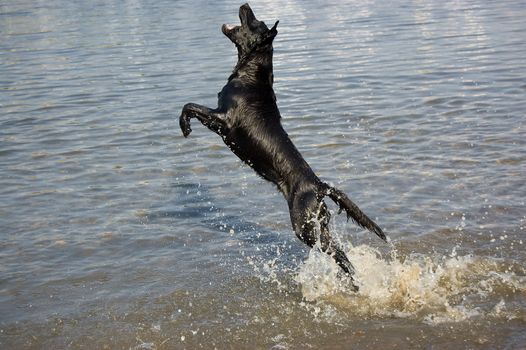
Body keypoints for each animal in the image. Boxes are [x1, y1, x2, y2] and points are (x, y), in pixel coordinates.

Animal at [179, 3, 386, 288]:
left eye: (254, 21)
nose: (245, 5)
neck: (252, 72)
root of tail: (319, 186)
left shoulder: (223, 120)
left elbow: (189, 106)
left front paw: (184, 127)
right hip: (318, 225)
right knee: (339, 253)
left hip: (304, 227)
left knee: (339, 256)